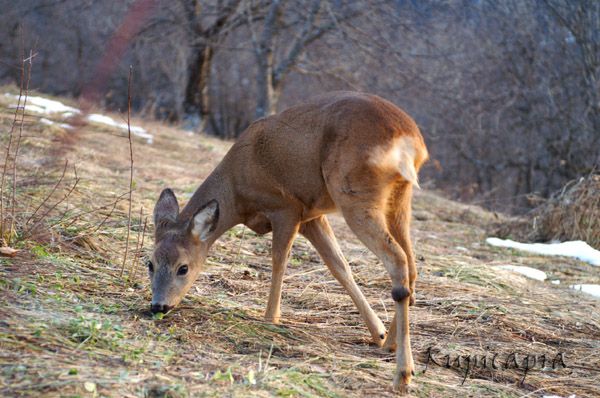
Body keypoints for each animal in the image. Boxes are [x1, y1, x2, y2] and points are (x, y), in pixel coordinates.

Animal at [149, 91, 426, 392]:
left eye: (183, 267)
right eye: (150, 264)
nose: (158, 306)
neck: (237, 189)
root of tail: (409, 139)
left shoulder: (287, 208)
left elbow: (279, 261)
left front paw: (270, 319)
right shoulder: (311, 218)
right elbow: (339, 266)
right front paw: (378, 331)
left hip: (355, 195)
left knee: (397, 261)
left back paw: (402, 374)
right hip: (398, 199)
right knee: (410, 267)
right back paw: (391, 345)